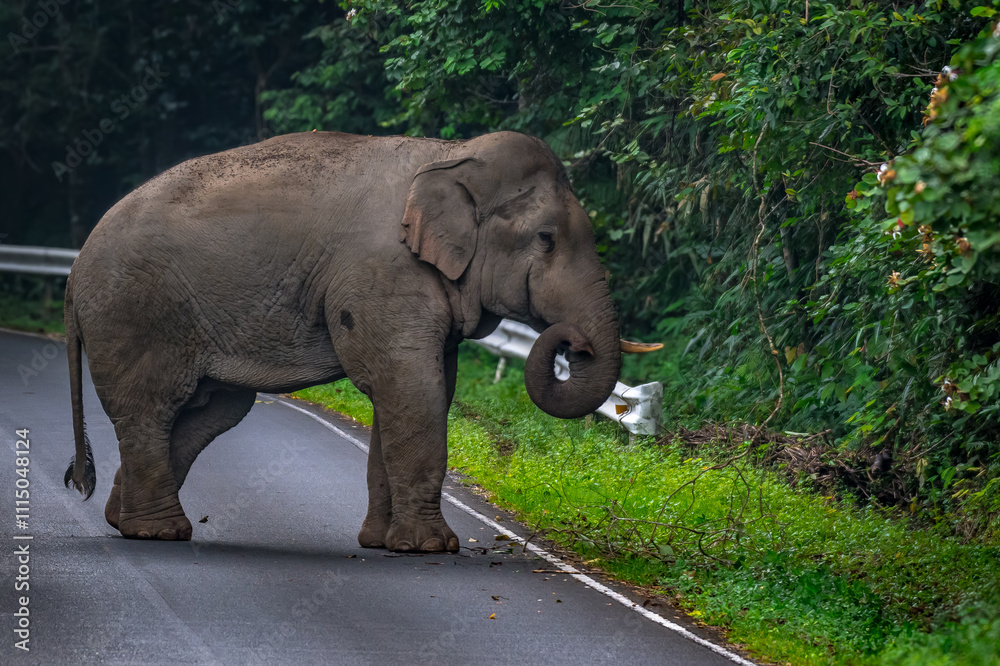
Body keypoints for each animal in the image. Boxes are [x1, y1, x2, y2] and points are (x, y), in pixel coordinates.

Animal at [63, 130, 625, 553]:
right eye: (546, 239)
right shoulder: (384, 276)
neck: (450, 155)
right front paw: (432, 547)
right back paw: (157, 532)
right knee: (152, 409)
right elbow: (410, 389)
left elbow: (420, 392)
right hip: (134, 313)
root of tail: (73, 269)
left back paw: (122, 519)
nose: (574, 343)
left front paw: (382, 543)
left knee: (212, 411)